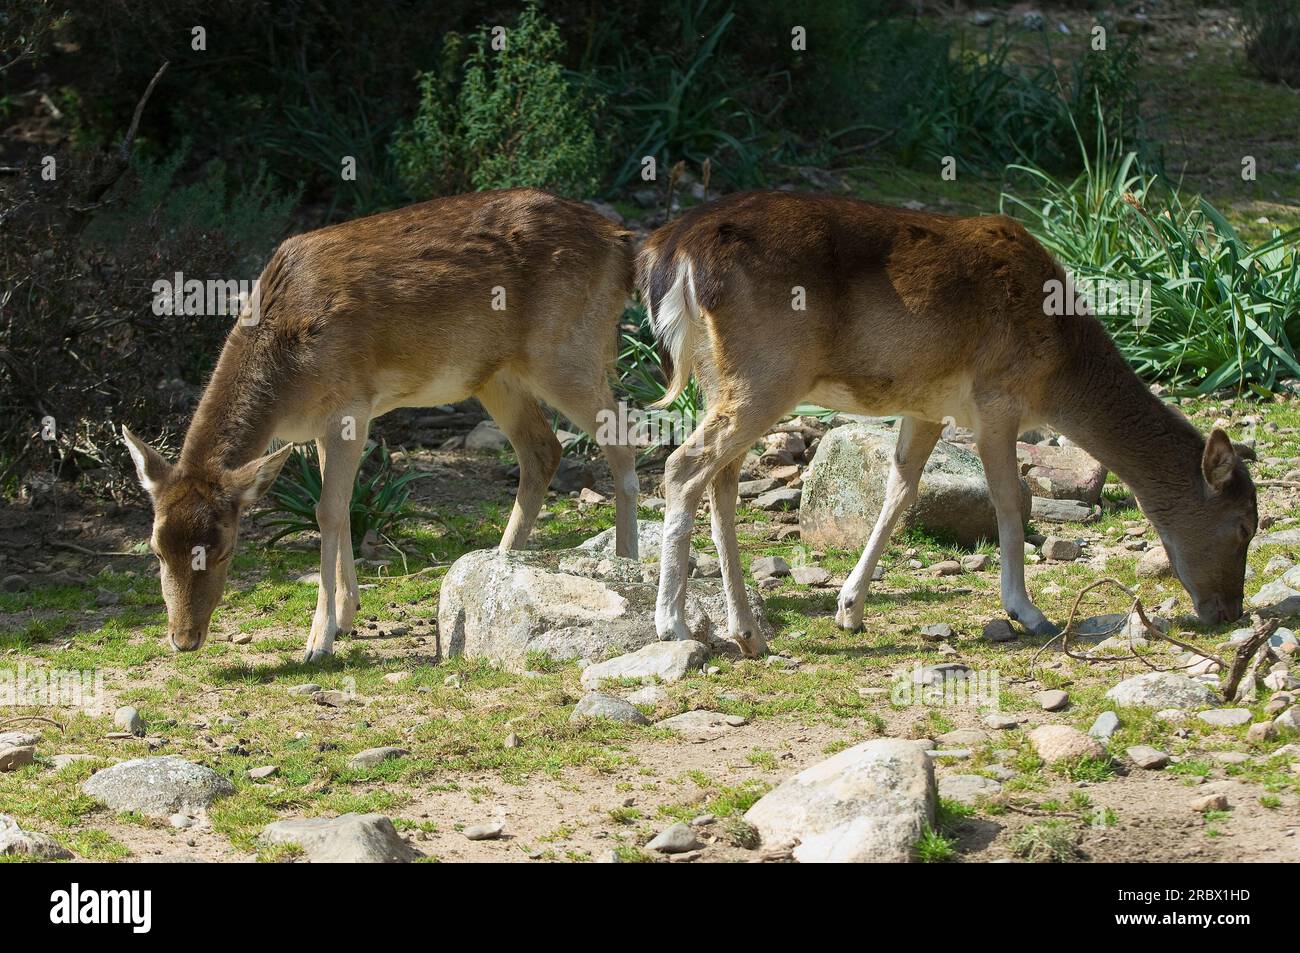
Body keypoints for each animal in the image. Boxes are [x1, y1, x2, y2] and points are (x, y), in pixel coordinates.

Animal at [122, 188, 639, 657]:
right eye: (156, 548)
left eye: (225, 549)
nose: (184, 640)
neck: (288, 379)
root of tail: (623, 244)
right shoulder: (327, 424)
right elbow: (340, 505)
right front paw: (347, 616)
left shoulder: (351, 405)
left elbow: (327, 512)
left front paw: (319, 641)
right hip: (497, 377)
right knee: (543, 449)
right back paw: (500, 560)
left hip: (567, 351)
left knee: (622, 436)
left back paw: (628, 563)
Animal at [642, 189, 1258, 657]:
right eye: (1244, 526)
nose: (1229, 612)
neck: (1058, 369)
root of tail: (671, 251)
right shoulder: (997, 399)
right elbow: (1009, 501)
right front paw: (1027, 612)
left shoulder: (926, 407)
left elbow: (900, 489)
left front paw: (850, 609)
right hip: (766, 373)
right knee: (683, 466)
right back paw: (672, 625)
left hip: (719, 377)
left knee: (720, 480)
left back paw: (747, 632)